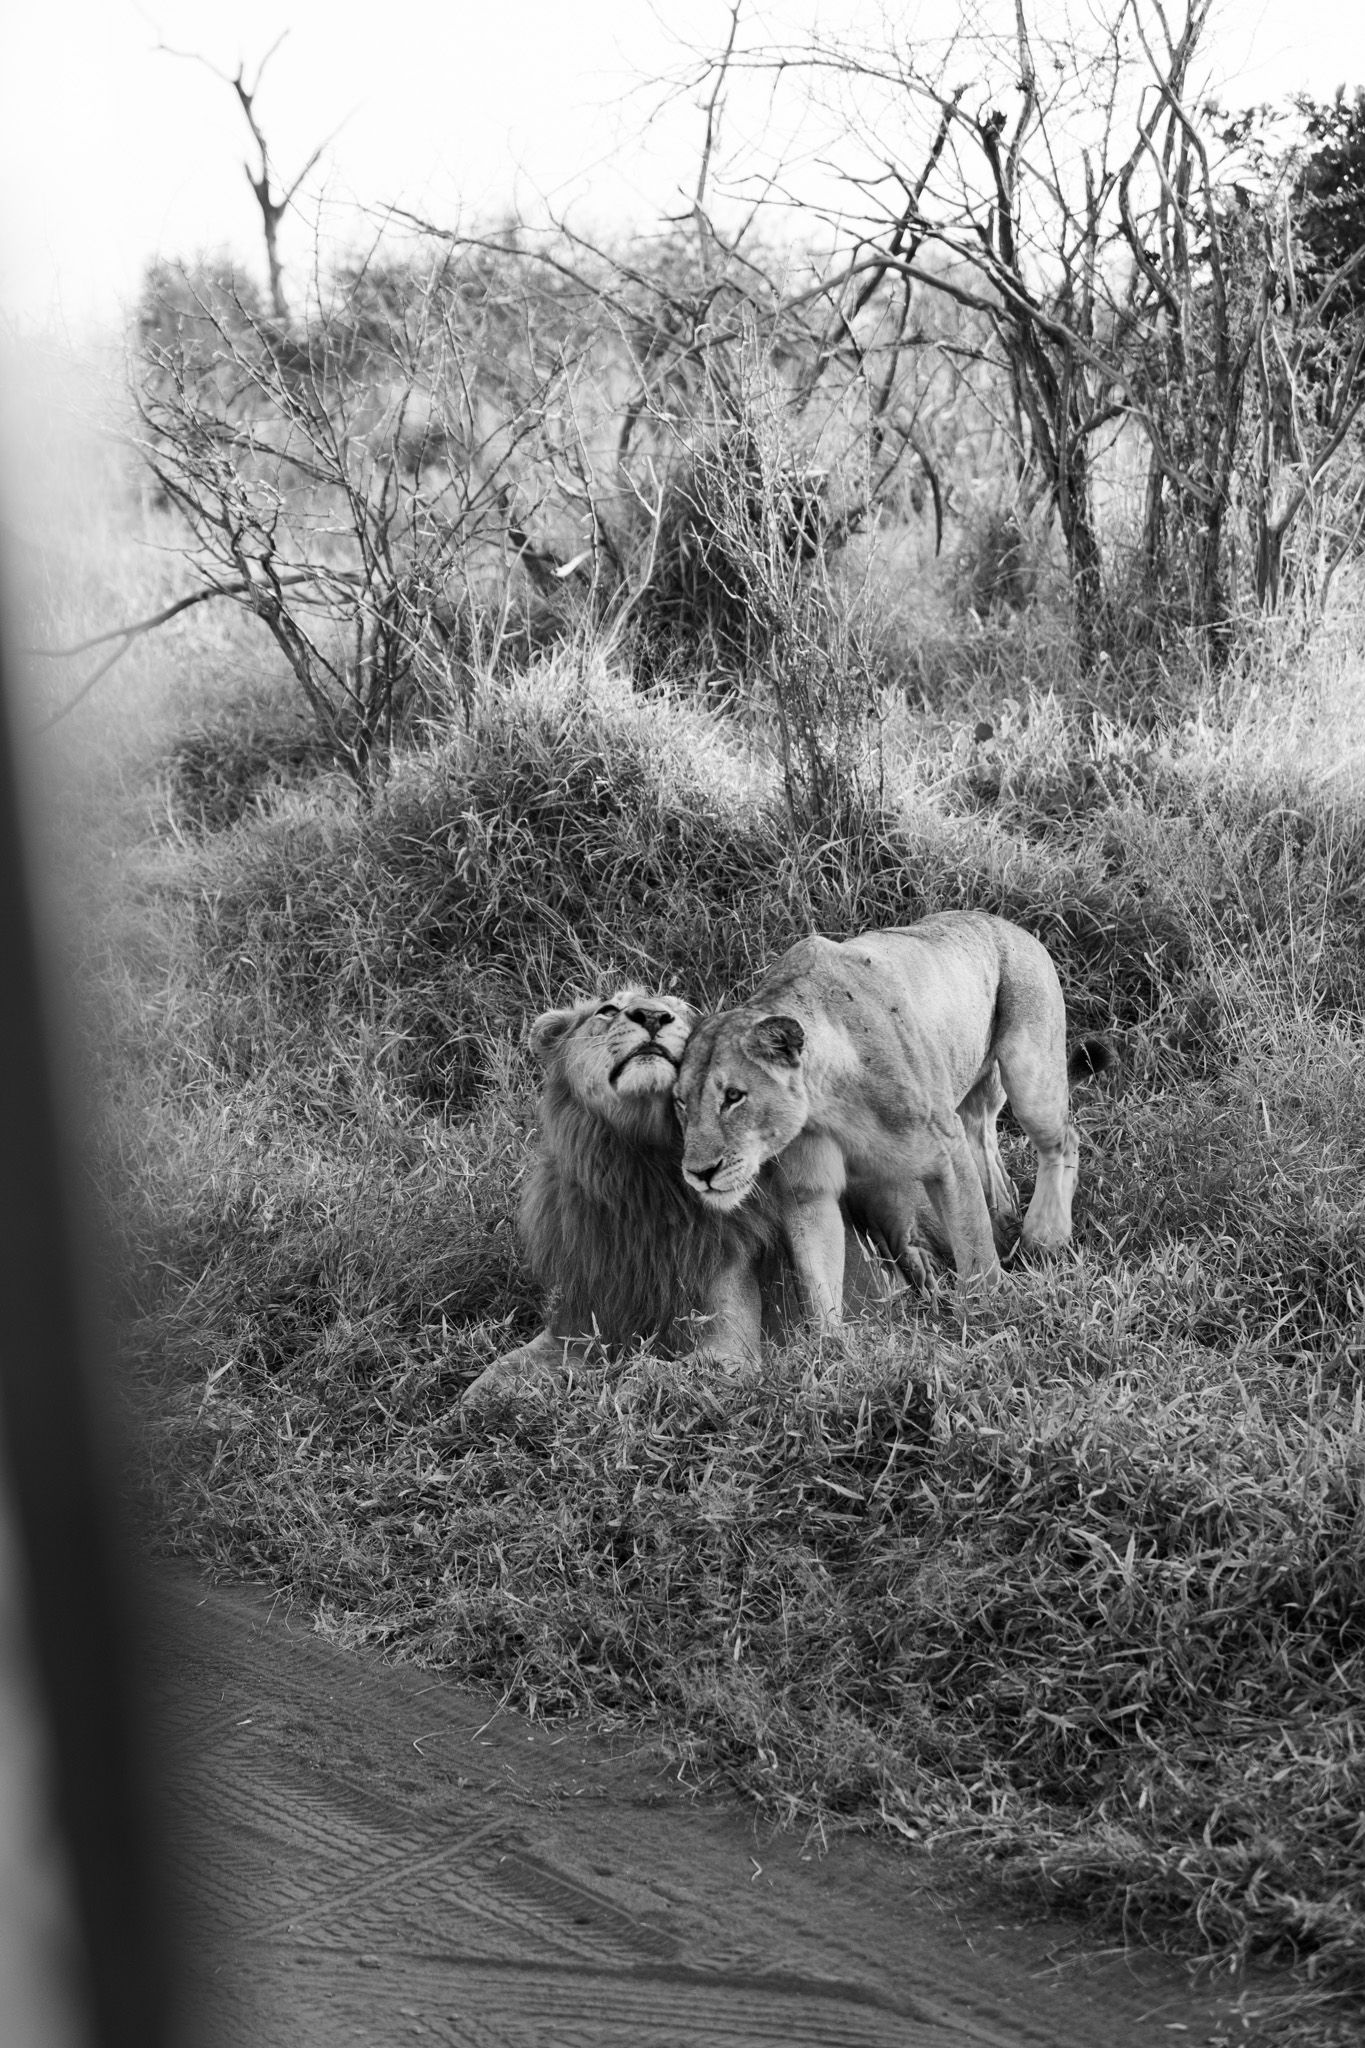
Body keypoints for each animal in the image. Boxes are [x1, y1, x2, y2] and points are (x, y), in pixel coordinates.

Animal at [674, 911, 1111, 1330]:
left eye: (733, 1096)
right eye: (680, 1103)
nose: (698, 1173)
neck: (825, 1098)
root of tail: (1009, 925)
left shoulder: (945, 1151)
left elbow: (973, 1246)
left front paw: (990, 1312)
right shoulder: (808, 1189)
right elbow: (817, 1279)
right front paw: (830, 1348)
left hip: (1030, 1069)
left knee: (1062, 1140)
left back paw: (1045, 1237)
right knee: (987, 1143)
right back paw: (1006, 1217)